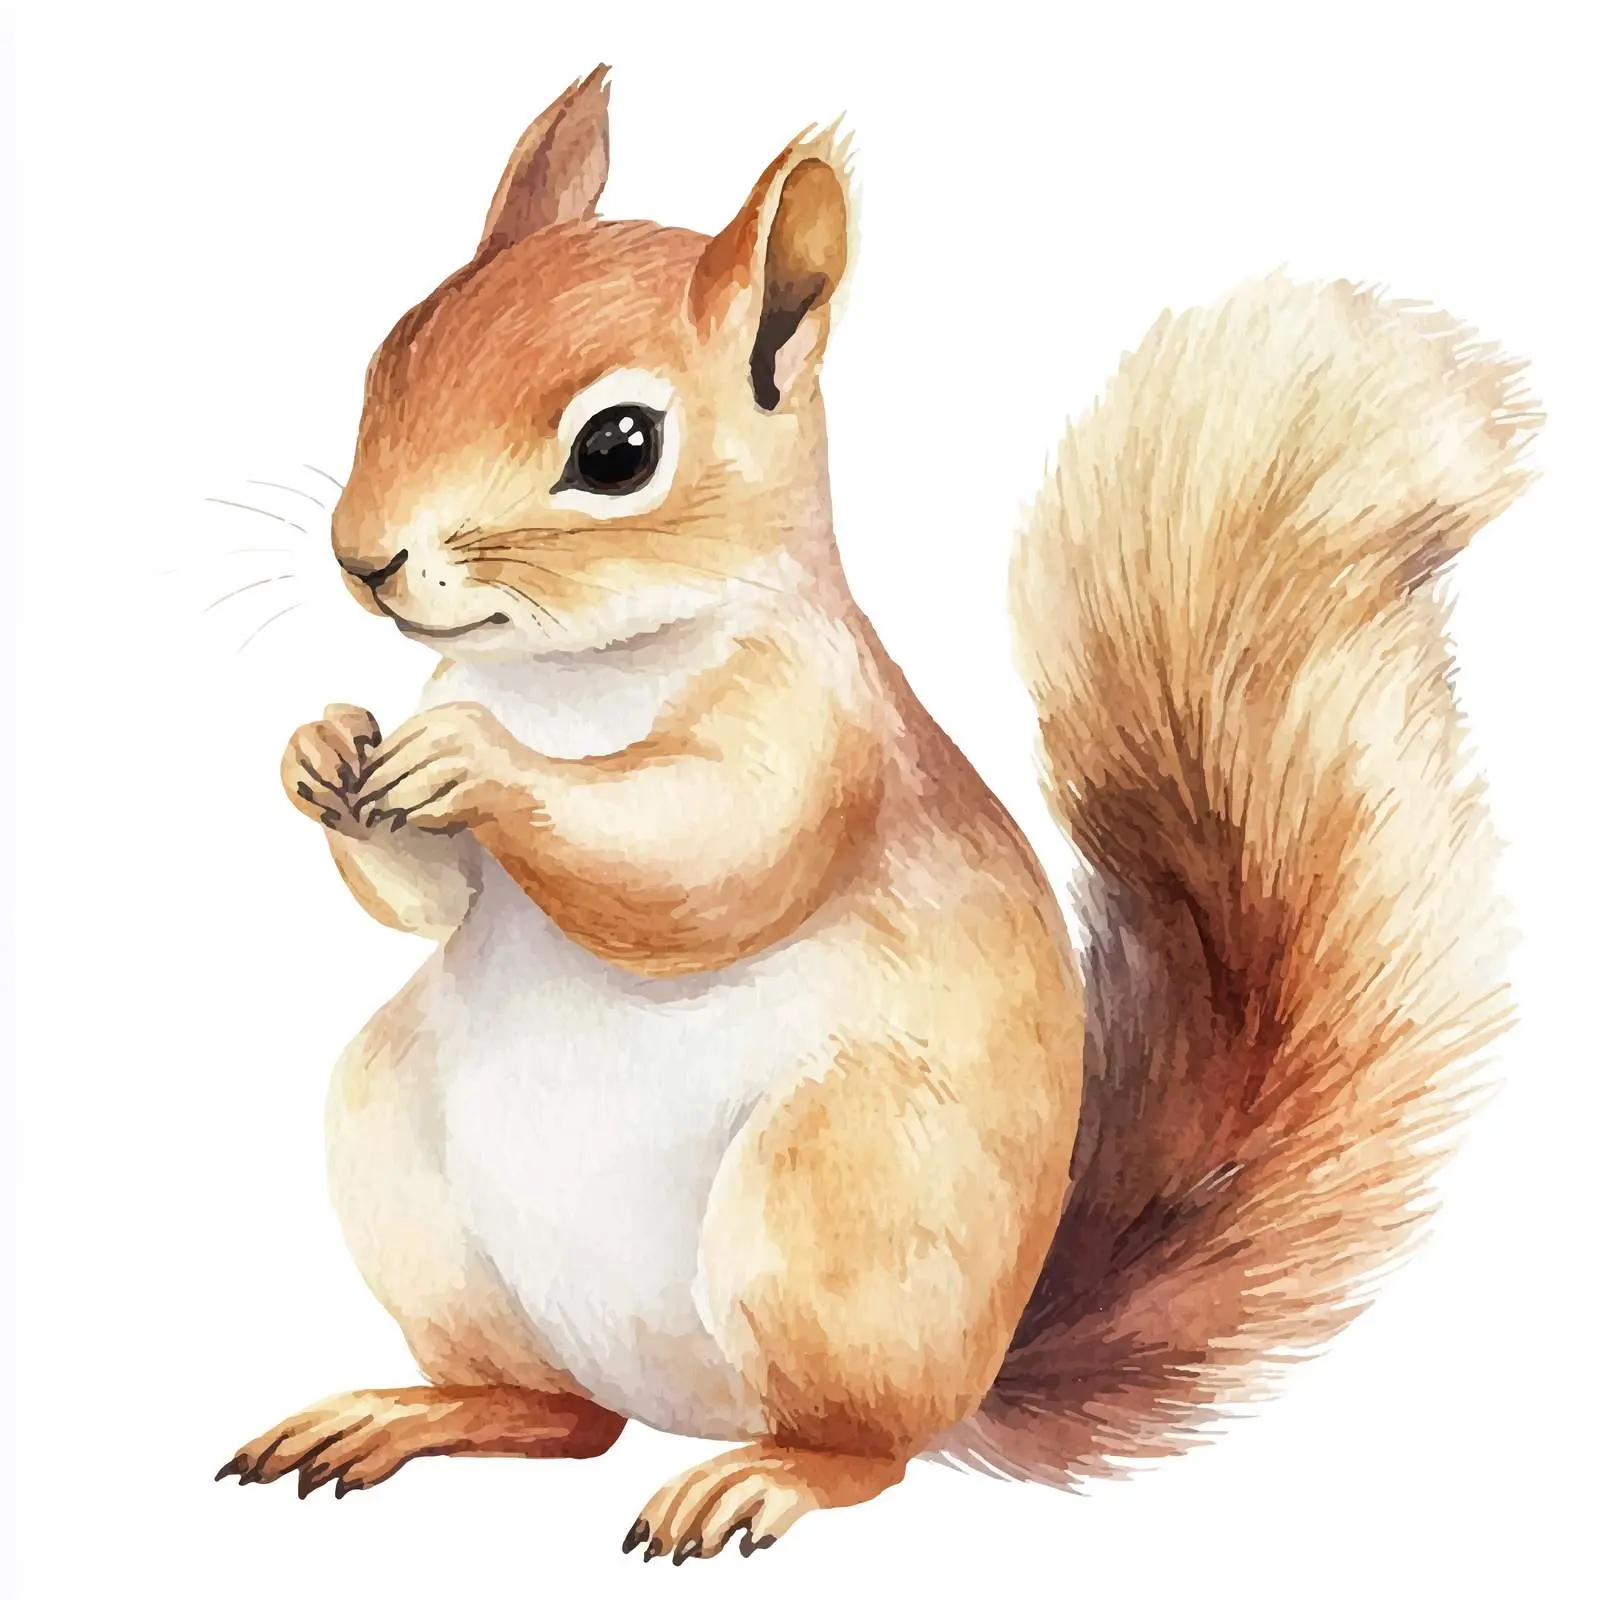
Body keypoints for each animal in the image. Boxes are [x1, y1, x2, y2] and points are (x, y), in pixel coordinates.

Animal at [217, 65, 1536, 1561]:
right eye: (389, 353)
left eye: (618, 448)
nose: (362, 560)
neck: (573, 673)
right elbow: (429, 903)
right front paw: (322, 750)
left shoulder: (814, 737)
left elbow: (697, 857)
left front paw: (472, 761)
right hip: (403, 1161)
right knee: (556, 1419)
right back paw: (408, 1414)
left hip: (839, 1197)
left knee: (862, 1445)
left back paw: (760, 1479)